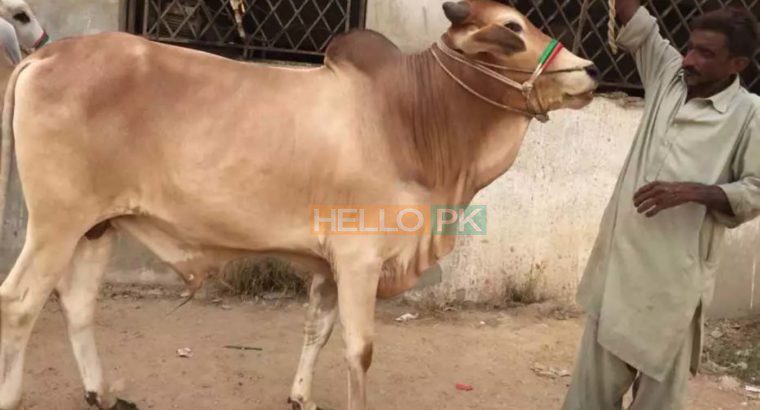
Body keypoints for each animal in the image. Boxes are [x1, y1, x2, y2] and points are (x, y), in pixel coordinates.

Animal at [0, 0, 599, 409]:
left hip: (98, 225)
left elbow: (318, 329)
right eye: (512, 27)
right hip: (56, 223)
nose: (591, 70)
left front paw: (302, 396)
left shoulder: (329, 265)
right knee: (20, 304)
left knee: (78, 304)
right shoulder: (360, 259)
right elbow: (360, 348)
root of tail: (45, 55)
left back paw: (102, 392)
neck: (410, 116)